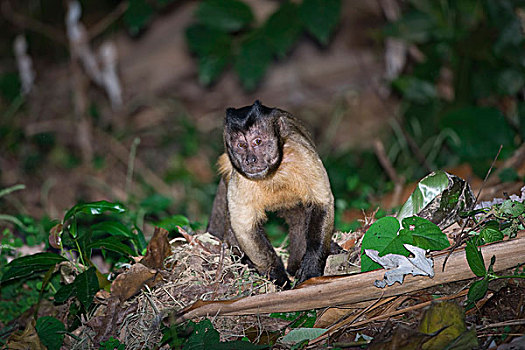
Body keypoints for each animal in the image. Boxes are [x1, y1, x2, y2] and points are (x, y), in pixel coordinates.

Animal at [207, 100, 334, 288]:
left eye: (258, 141)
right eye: (241, 145)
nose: (250, 160)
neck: (273, 172)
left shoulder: (302, 155)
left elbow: (321, 203)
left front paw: (311, 266)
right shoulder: (241, 177)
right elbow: (244, 227)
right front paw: (278, 277)